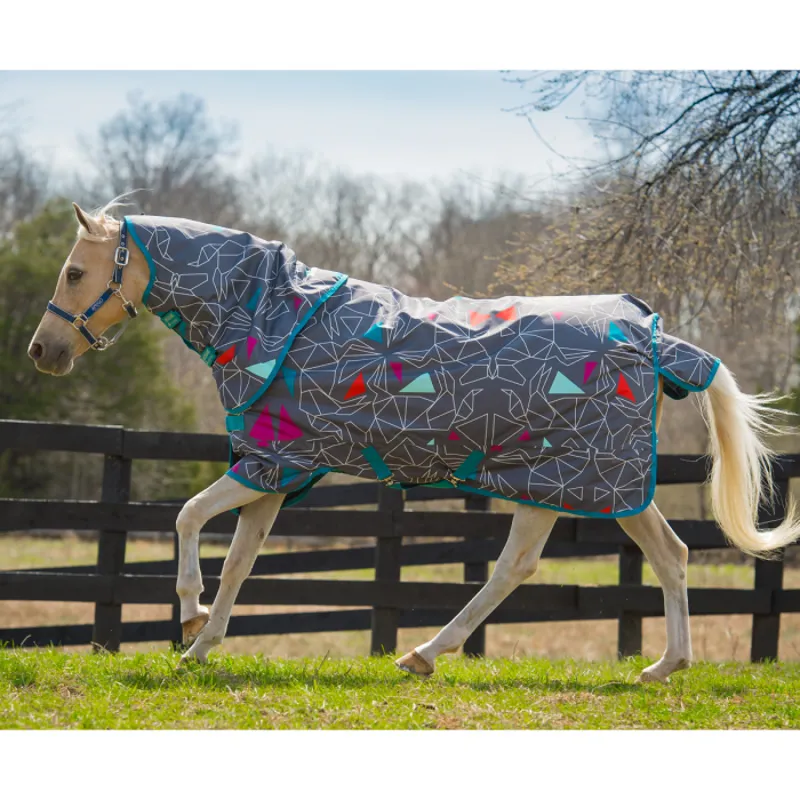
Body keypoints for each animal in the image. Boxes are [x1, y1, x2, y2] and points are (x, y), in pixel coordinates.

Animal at [27, 202, 800, 683]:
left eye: (74, 272)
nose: (42, 352)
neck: (271, 316)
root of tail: (651, 335)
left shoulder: (271, 464)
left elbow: (187, 518)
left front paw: (187, 620)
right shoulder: (275, 473)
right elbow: (241, 562)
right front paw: (201, 647)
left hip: (578, 478)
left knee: (542, 565)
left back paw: (425, 654)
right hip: (569, 482)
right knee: (643, 557)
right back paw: (657, 667)